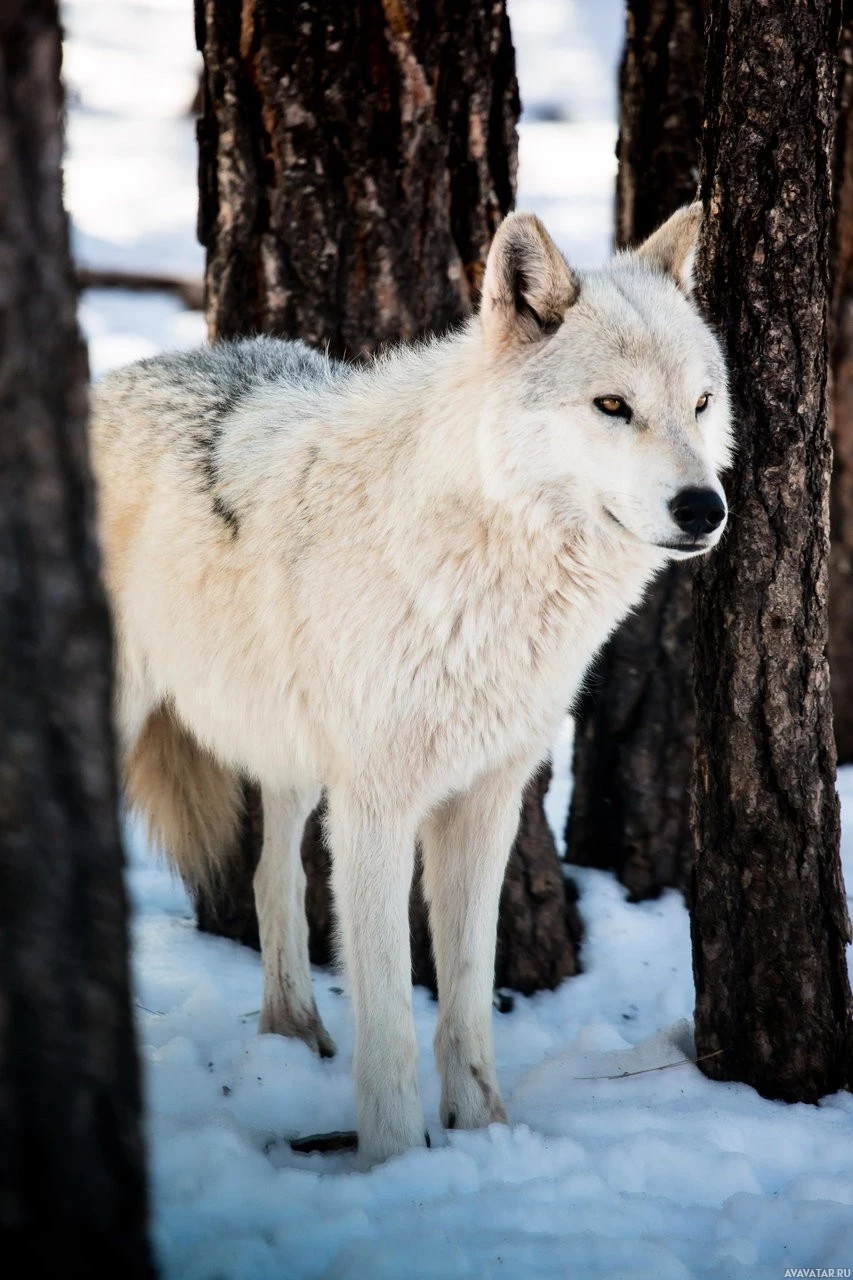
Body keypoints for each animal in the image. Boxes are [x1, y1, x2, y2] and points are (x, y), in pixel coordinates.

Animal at [91, 204, 732, 1167]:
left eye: (699, 403)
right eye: (613, 407)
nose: (705, 509)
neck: (484, 564)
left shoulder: (485, 798)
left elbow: (464, 996)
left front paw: (485, 1134)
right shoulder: (377, 807)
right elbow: (391, 1015)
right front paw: (394, 1161)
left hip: (293, 758)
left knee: (271, 880)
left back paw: (292, 1035)